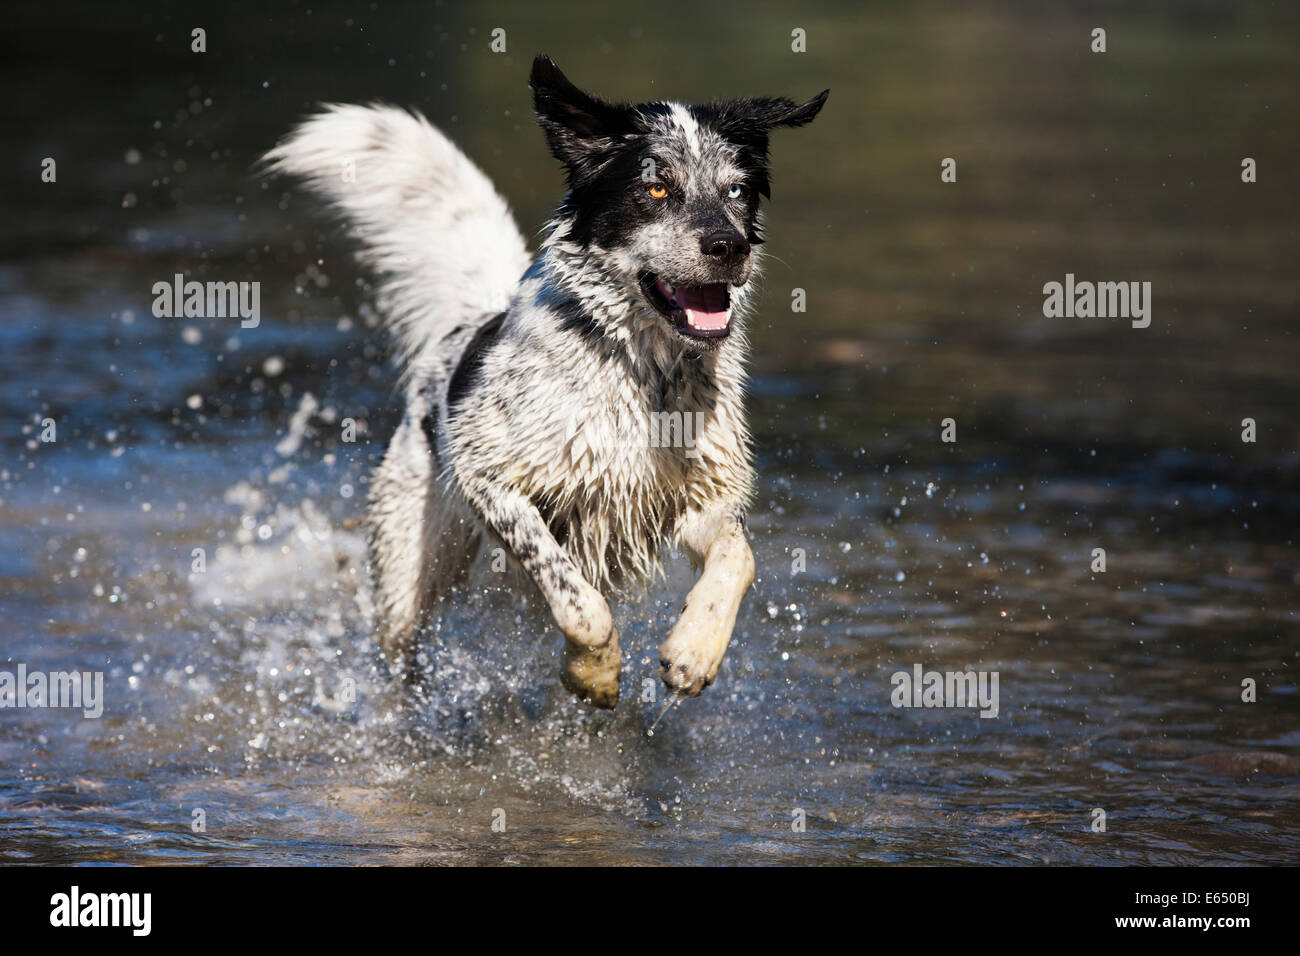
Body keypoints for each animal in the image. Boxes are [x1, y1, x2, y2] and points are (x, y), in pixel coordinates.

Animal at [267, 54, 826, 712]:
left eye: (736, 190)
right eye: (657, 188)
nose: (729, 246)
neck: (643, 373)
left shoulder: (698, 499)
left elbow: (740, 557)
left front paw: (695, 651)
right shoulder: (492, 482)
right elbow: (578, 598)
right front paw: (594, 672)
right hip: (409, 569)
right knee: (403, 650)